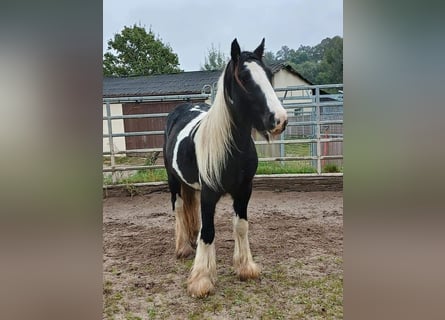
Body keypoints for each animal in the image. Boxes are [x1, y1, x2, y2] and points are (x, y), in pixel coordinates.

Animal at [163, 38, 288, 298]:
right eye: (245, 77)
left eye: (268, 74)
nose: (280, 120)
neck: (232, 149)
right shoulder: (209, 193)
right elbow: (209, 232)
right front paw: (201, 280)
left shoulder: (244, 190)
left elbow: (240, 226)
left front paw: (245, 267)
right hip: (173, 180)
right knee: (178, 208)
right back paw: (183, 248)